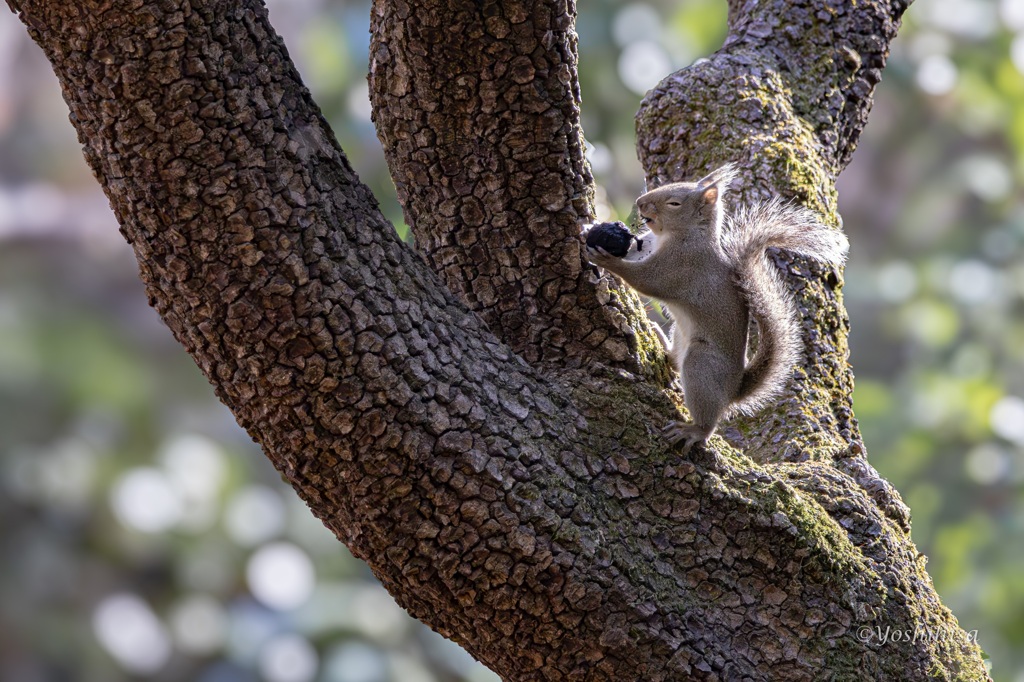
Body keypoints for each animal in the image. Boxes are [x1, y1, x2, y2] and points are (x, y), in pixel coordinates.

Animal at [581, 163, 851, 450]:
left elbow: (645, 280)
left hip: (702, 365)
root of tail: (733, 391)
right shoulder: (647, 247)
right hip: (681, 335)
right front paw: (591, 229)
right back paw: (660, 341)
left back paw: (694, 431)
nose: (641, 202)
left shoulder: (681, 266)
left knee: (705, 415)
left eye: (674, 203)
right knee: (674, 362)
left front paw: (607, 260)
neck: (680, 236)